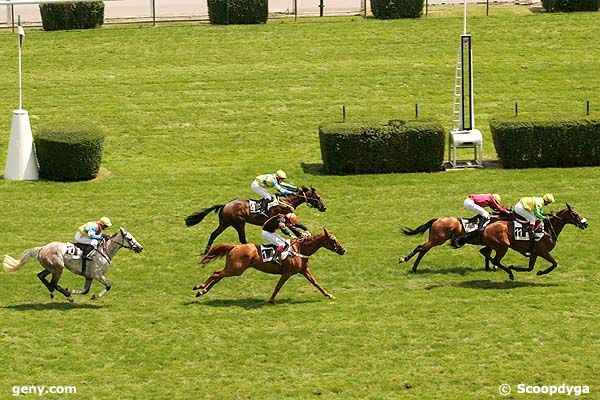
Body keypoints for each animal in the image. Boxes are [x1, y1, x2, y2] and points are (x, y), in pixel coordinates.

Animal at [3, 227, 144, 302]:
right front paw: (96, 295)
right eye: (129, 238)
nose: (140, 248)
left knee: (41, 276)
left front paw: (73, 290)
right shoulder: (98, 275)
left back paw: (55, 292)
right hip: (58, 268)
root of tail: (42, 248)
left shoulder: (89, 276)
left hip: (51, 268)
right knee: (53, 283)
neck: (104, 250)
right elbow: (108, 286)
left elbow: (85, 291)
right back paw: (66, 295)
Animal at [185, 187, 326, 253]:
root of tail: (225, 204)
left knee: (213, 234)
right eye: (318, 197)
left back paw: (206, 251)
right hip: (239, 223)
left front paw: (306, 233)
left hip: (225, 223)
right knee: (242, 239)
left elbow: (299, 226)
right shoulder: (283, 218)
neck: (287, 201)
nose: (324, 207)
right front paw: (303, 236)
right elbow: (295, 229)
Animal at [190, 228, 344, 304]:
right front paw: (271, 300)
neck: (300, 249)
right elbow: (278, 286)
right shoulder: (287, 273)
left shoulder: (304, 270)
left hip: (232, 268)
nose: (343, 250)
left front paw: (329, 295)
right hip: (236, 269)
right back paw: (199, 287)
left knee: (218, 275)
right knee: (216, 274)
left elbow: (316, 283)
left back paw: (202, 291)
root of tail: (234, 246)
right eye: (332, 239)